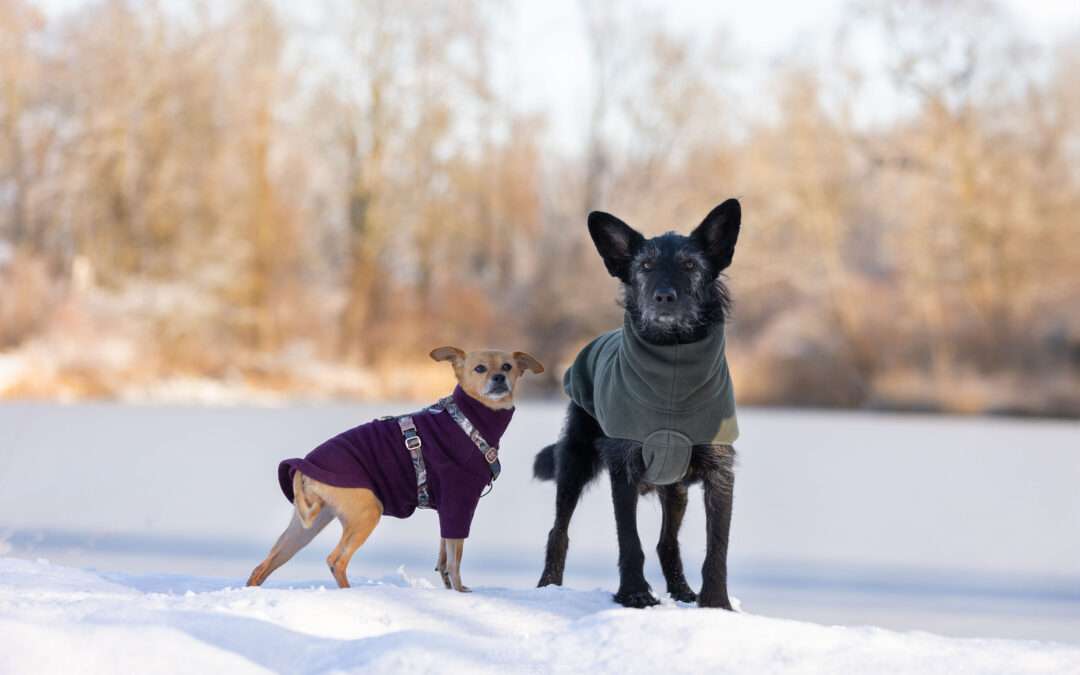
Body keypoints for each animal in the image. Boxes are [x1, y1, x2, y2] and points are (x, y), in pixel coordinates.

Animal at [248, 345, 544, 591]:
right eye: (480, 368)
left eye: (507, 366)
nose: (499, 378)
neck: (467, 420)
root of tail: (304, 467)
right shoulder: (459, 501)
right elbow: (455, 560)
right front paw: (460, 592)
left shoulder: (448, 509)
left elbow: (443, 556)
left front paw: (449, 588)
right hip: (367, 512)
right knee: (335, 560)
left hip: (305, 527)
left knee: (262, 567)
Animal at [533, 198, 738, 604]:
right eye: (645, 266)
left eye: (690, 265)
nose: (664, 297)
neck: (673, 363)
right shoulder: (623, 468)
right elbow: (629, 540)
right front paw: (634, 595)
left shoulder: (720, 473)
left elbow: (717, 547)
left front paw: (716, 604)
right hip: (574, 465)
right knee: (558, 530)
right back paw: (548, 586)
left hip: (676, 489)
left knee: (666, 543)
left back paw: (682, 591)